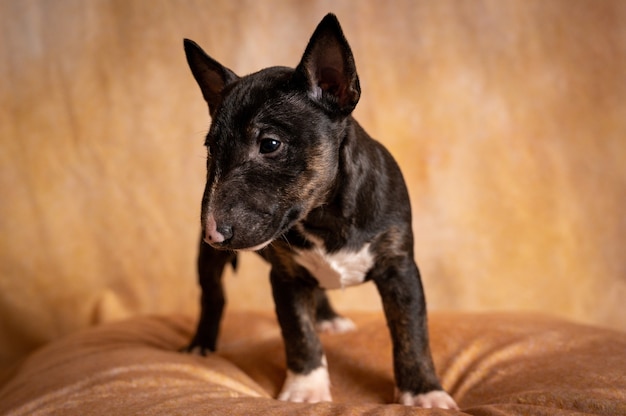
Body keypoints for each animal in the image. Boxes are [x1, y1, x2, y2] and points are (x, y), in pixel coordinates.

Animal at [183, 13, 456, 410]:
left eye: (270, 144)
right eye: (209, 150)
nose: (213, 232)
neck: (325, 215)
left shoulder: (400, 268)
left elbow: (412, 332)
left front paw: (423, 392)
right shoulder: (285, 278)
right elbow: (299, 332)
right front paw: (306, 389)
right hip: (209, 262)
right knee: (213, 293)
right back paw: (201, 343)